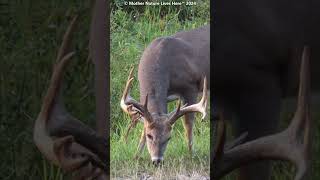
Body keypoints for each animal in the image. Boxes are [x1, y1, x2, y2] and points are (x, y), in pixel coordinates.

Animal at [120, 25, 210, 165]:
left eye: (169, 138)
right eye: (149, 135)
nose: (157, 160)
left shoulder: (190, 88)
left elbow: (188, 124)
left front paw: (192, 154)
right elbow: (144, 124)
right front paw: (136, 156)